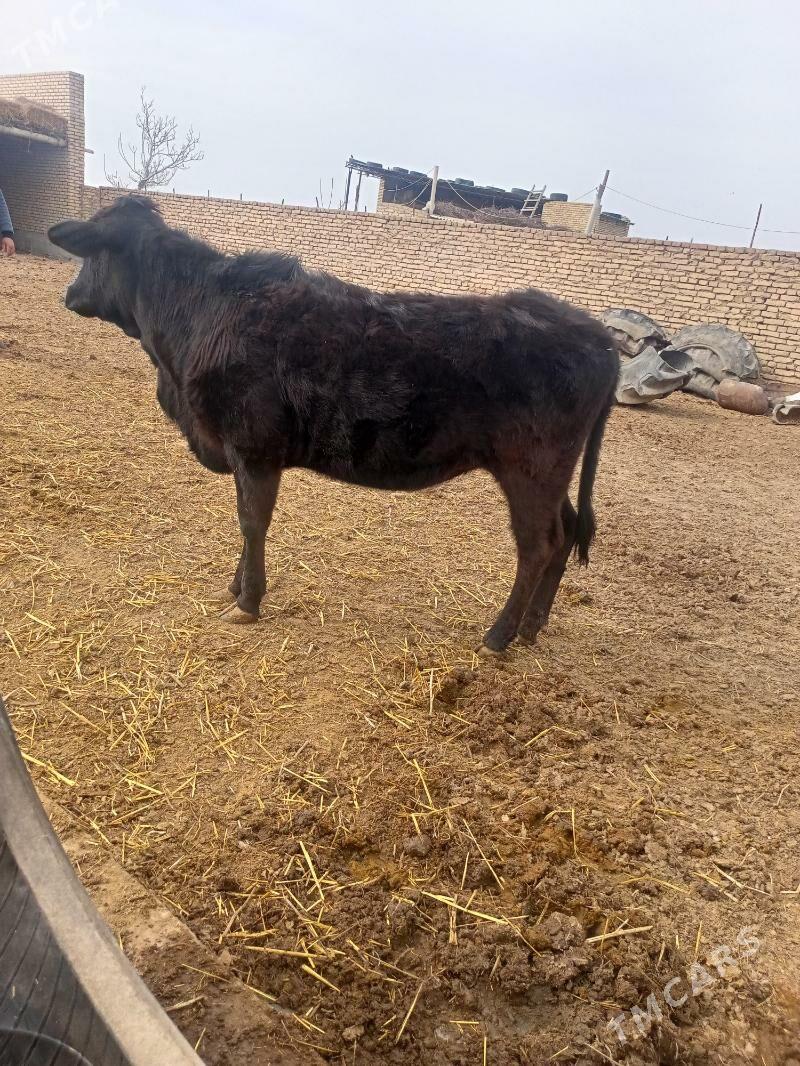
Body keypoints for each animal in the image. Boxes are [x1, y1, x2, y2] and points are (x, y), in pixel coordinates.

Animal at [49, 196, 618, 652]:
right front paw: (236, 587)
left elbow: (252, 521)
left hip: (531, 466)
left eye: (90, 251)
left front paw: (248, 601)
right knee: (566, 532)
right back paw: (532, 627)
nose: (67, 295)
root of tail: (596, 332)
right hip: (549, 472)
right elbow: (244, 519)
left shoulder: (254, 447)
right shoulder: (241, 450)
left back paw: (499, 635)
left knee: (538, 544)